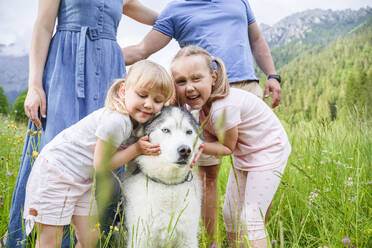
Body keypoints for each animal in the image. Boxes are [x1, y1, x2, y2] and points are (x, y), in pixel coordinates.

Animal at [123, 106, 202, 248]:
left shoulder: (188, 238)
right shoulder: (140, 238)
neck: (168, 184)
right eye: (166, 130)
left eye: (189, 132)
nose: (185, 150)